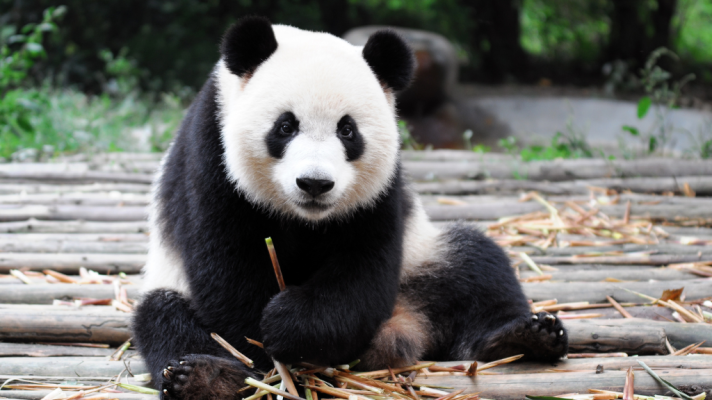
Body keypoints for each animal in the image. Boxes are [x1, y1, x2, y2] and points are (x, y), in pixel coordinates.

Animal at [132, 16, 568, 400]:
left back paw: (526, 336)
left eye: (347, 130)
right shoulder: (210, 157)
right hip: (168, 279)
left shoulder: (380, 192)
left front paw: (289, 327)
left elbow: (363, 269)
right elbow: (228, 266)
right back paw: (205, 378)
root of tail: (407, 326)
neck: (304, 218)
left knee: (475, 266)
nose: (315, 184)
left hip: (422, 260)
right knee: (164, 319)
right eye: (285, 126)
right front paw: (266, 354)